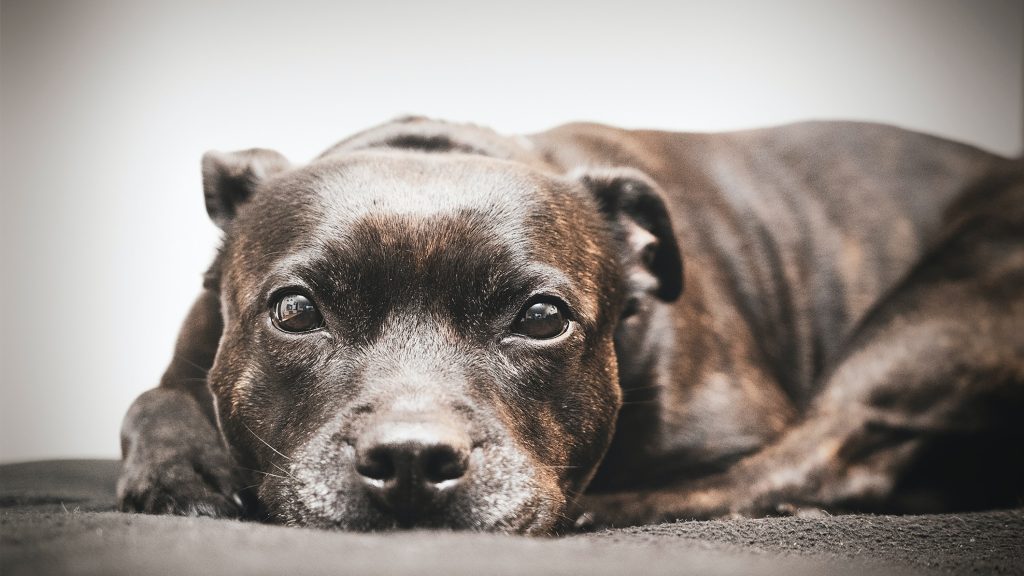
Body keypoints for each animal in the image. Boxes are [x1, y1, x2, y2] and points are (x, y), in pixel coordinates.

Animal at [117, 116, 1024, 532]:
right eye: (296, 310)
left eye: (542, 318)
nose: (411, 459)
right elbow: (149, 400)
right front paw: (183, 468)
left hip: (938, 305)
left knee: (824, 458)